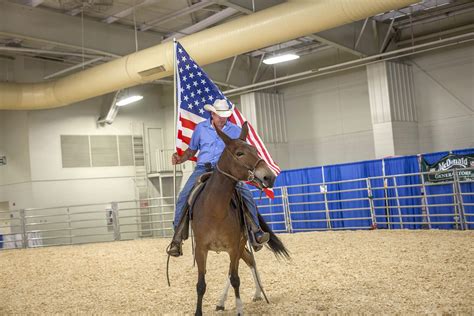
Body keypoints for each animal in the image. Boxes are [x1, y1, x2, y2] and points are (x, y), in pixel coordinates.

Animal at [190, 121, 288, 316]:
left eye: (256, 150)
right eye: (239, 153)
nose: (269, 176)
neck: (215, 210)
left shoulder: (234, 246)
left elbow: (235, 278)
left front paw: (239, 309)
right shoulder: (201, 249)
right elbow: (201, 284)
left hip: (241, 244)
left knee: (240, 267)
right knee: (248, 261)